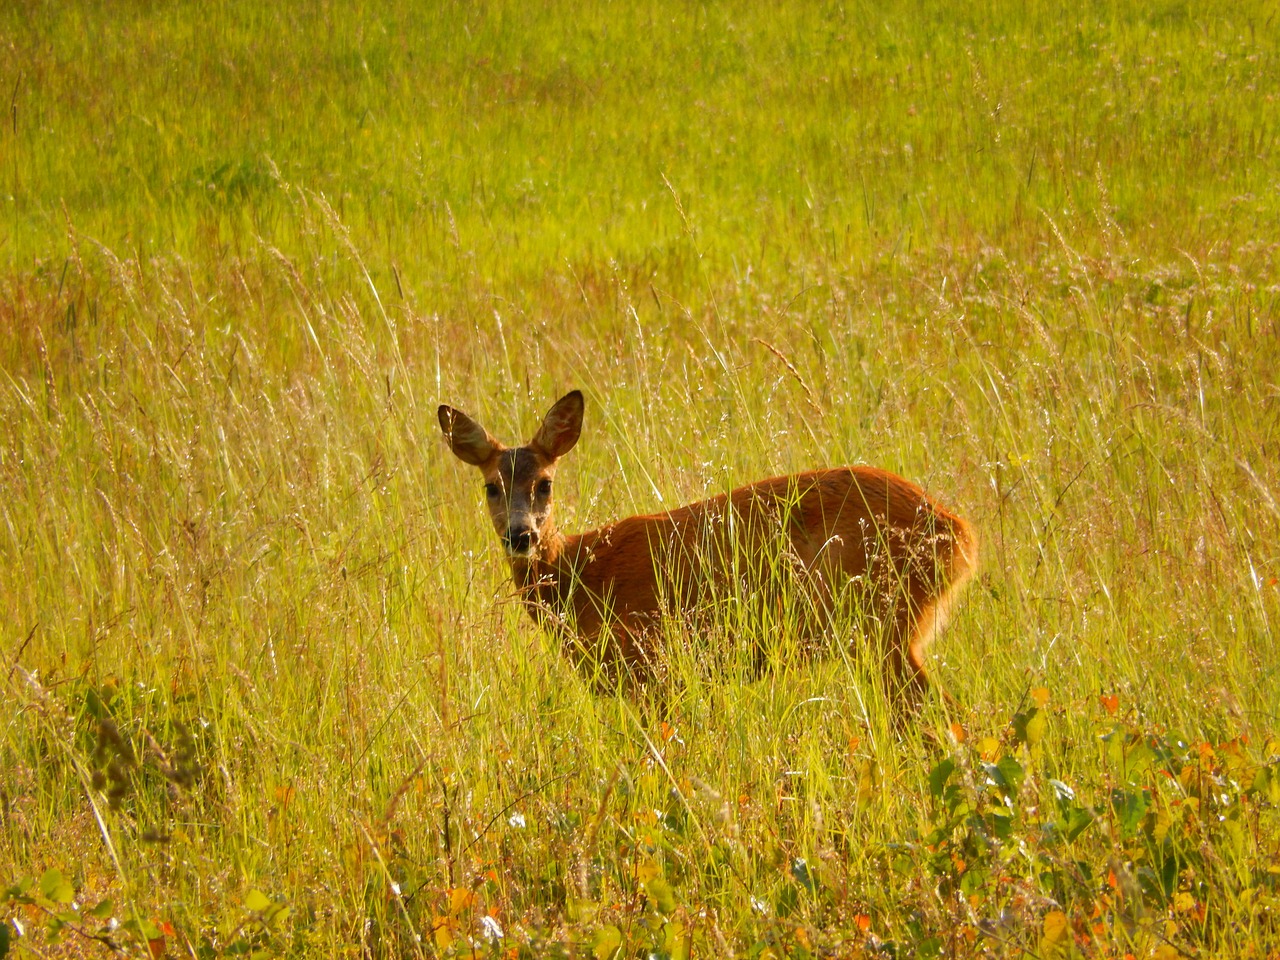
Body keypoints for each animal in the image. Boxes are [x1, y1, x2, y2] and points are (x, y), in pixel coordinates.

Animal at [440, 391, 977, 706]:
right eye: (491, 486)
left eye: (545, 484)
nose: (520, 535)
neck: (582, 574)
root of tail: (961, 534)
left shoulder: (649, 664)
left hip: (882, 622)